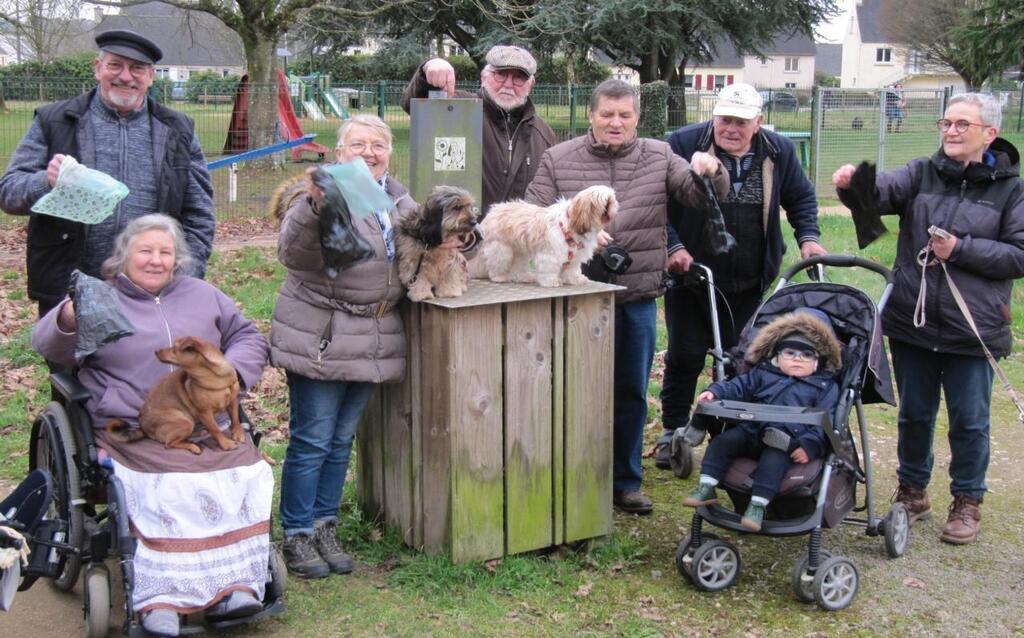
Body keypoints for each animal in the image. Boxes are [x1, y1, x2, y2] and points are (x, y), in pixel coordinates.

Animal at [107, 333, 243, 454]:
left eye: (174, 348)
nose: (156, 351)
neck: (214, 377)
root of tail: (143, 429)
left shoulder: (233, 402)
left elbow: (235, 418)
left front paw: (238, 433)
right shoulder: (205, 413)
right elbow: (215, 430)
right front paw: (226, 444)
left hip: (188, 420)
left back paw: (198, 433)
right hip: (184, 422)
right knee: (169, 444)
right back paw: (193, 447)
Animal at [477, 183, 614, 286]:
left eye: (612, 200)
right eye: (605, 202)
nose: (611, 208)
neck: (572, 224)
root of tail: (493, 211)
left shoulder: (574, 256)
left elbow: (572, 269)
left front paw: (575, 279)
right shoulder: (551, 254)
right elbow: (549, 269)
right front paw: (552, 281)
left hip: (520, 252)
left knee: (517, 267)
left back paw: (524, 277)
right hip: (502, 249)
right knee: (496, 262)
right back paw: (499, 277)